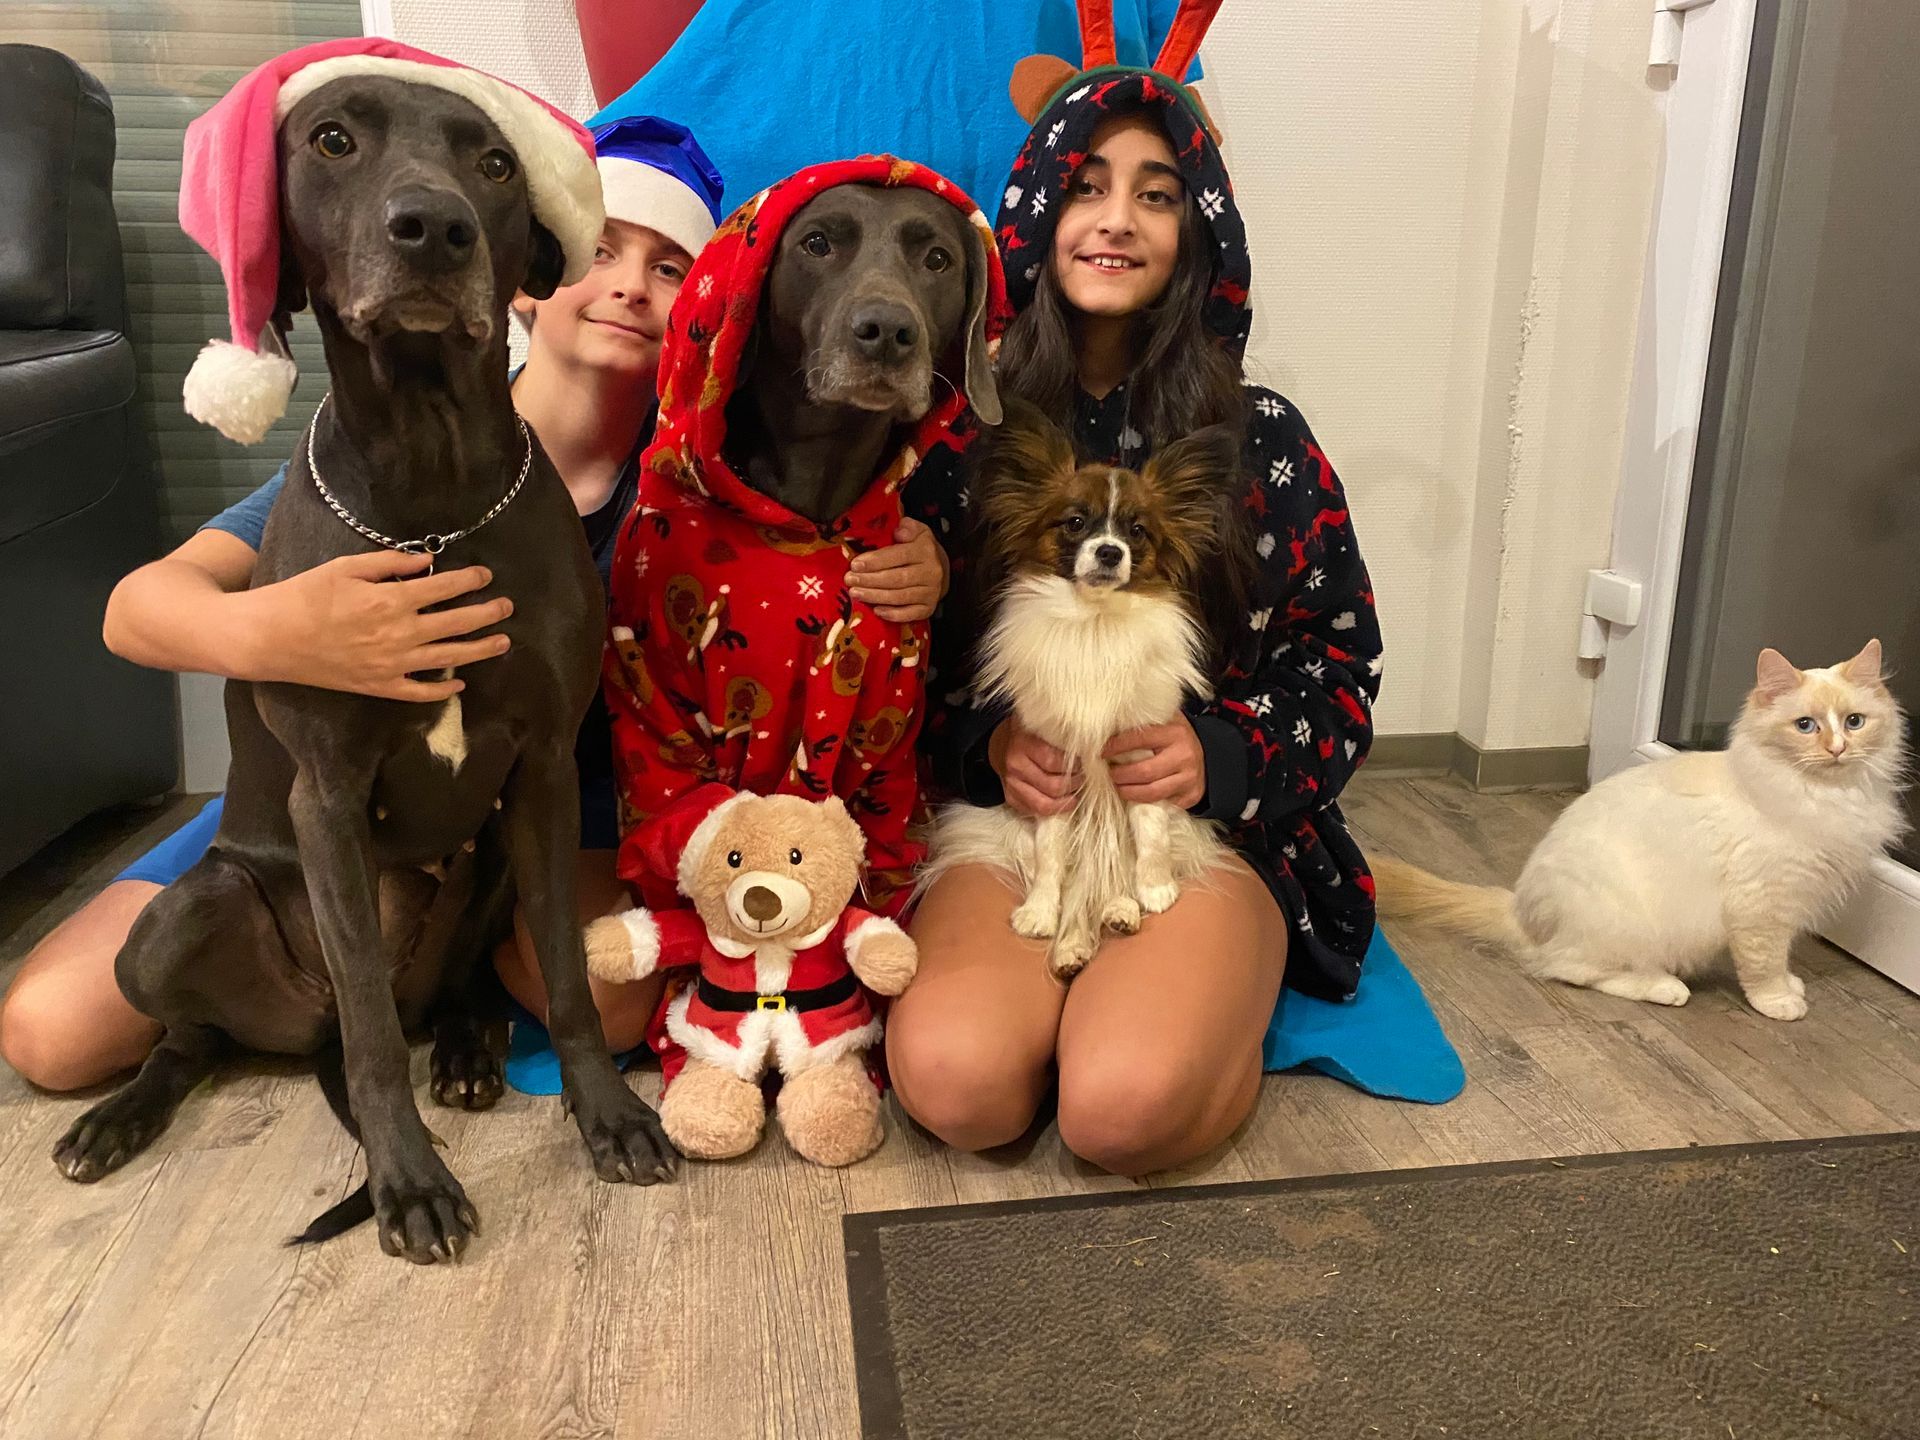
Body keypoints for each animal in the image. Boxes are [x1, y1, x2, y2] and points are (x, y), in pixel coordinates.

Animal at [50, 73, 674, 1263]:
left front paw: (611, 1119)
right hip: (176, 922)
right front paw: (411, 1183)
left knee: (447, 986)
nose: (432, 227)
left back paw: (470, 1051)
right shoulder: (327, 796)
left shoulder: (541, 773)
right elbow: (381, 1046)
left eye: (495, 162)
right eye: (332, 139)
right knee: (209, 1032)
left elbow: (570, 981)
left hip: (488, 860)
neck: (433, 491)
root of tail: (303, 1033)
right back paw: (117, 1118)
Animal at [925, 400, 1255, 978]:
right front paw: (1040, 911)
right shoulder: (1055, 768)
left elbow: (1148, 833)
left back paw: (1121, 909)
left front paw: (1154, 889)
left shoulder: (1142, 756)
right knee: (1077, 873)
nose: (1108, 552)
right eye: (1075, 523)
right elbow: (1052, 856)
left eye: (1138, 532)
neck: (1094, 623)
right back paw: (1073, 940)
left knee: (1111, 867)